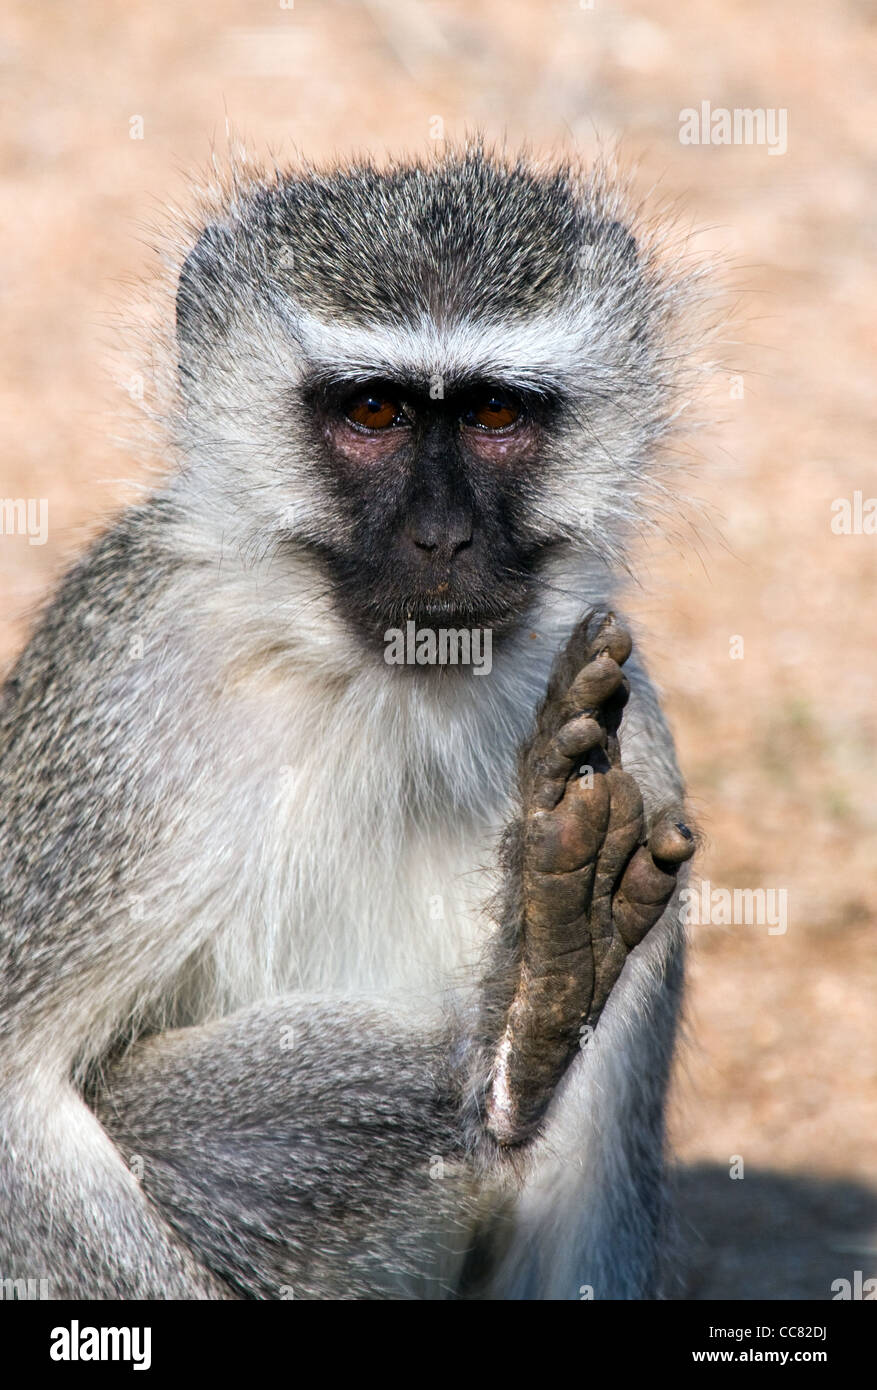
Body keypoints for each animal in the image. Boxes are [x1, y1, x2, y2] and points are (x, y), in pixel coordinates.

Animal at [0, 144, 701, 1300]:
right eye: (372, 411)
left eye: (495, 415)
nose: (441, 537)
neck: (391, 694)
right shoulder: (126, 713)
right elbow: (15, 1098)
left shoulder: (636, 735)